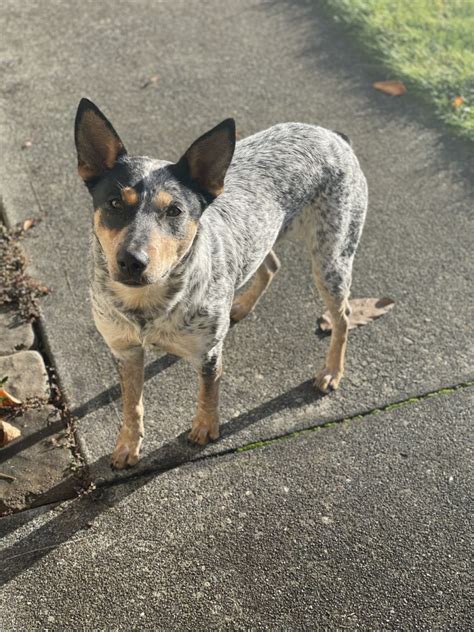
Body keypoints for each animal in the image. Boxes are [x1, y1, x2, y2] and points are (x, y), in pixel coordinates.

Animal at [75, 96, 366, 466]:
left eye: (174, 211)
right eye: (114, 203)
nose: (131, 261)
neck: (150, 305)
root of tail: (334, 136)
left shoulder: (209, 353)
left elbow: (208, 391)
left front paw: (205, 428)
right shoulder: (124, 350)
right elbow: (131, 404)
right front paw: (127, 444)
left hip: (332, 259)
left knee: (342, 316)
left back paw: (331, 372)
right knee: (271, 264)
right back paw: (239, 306)